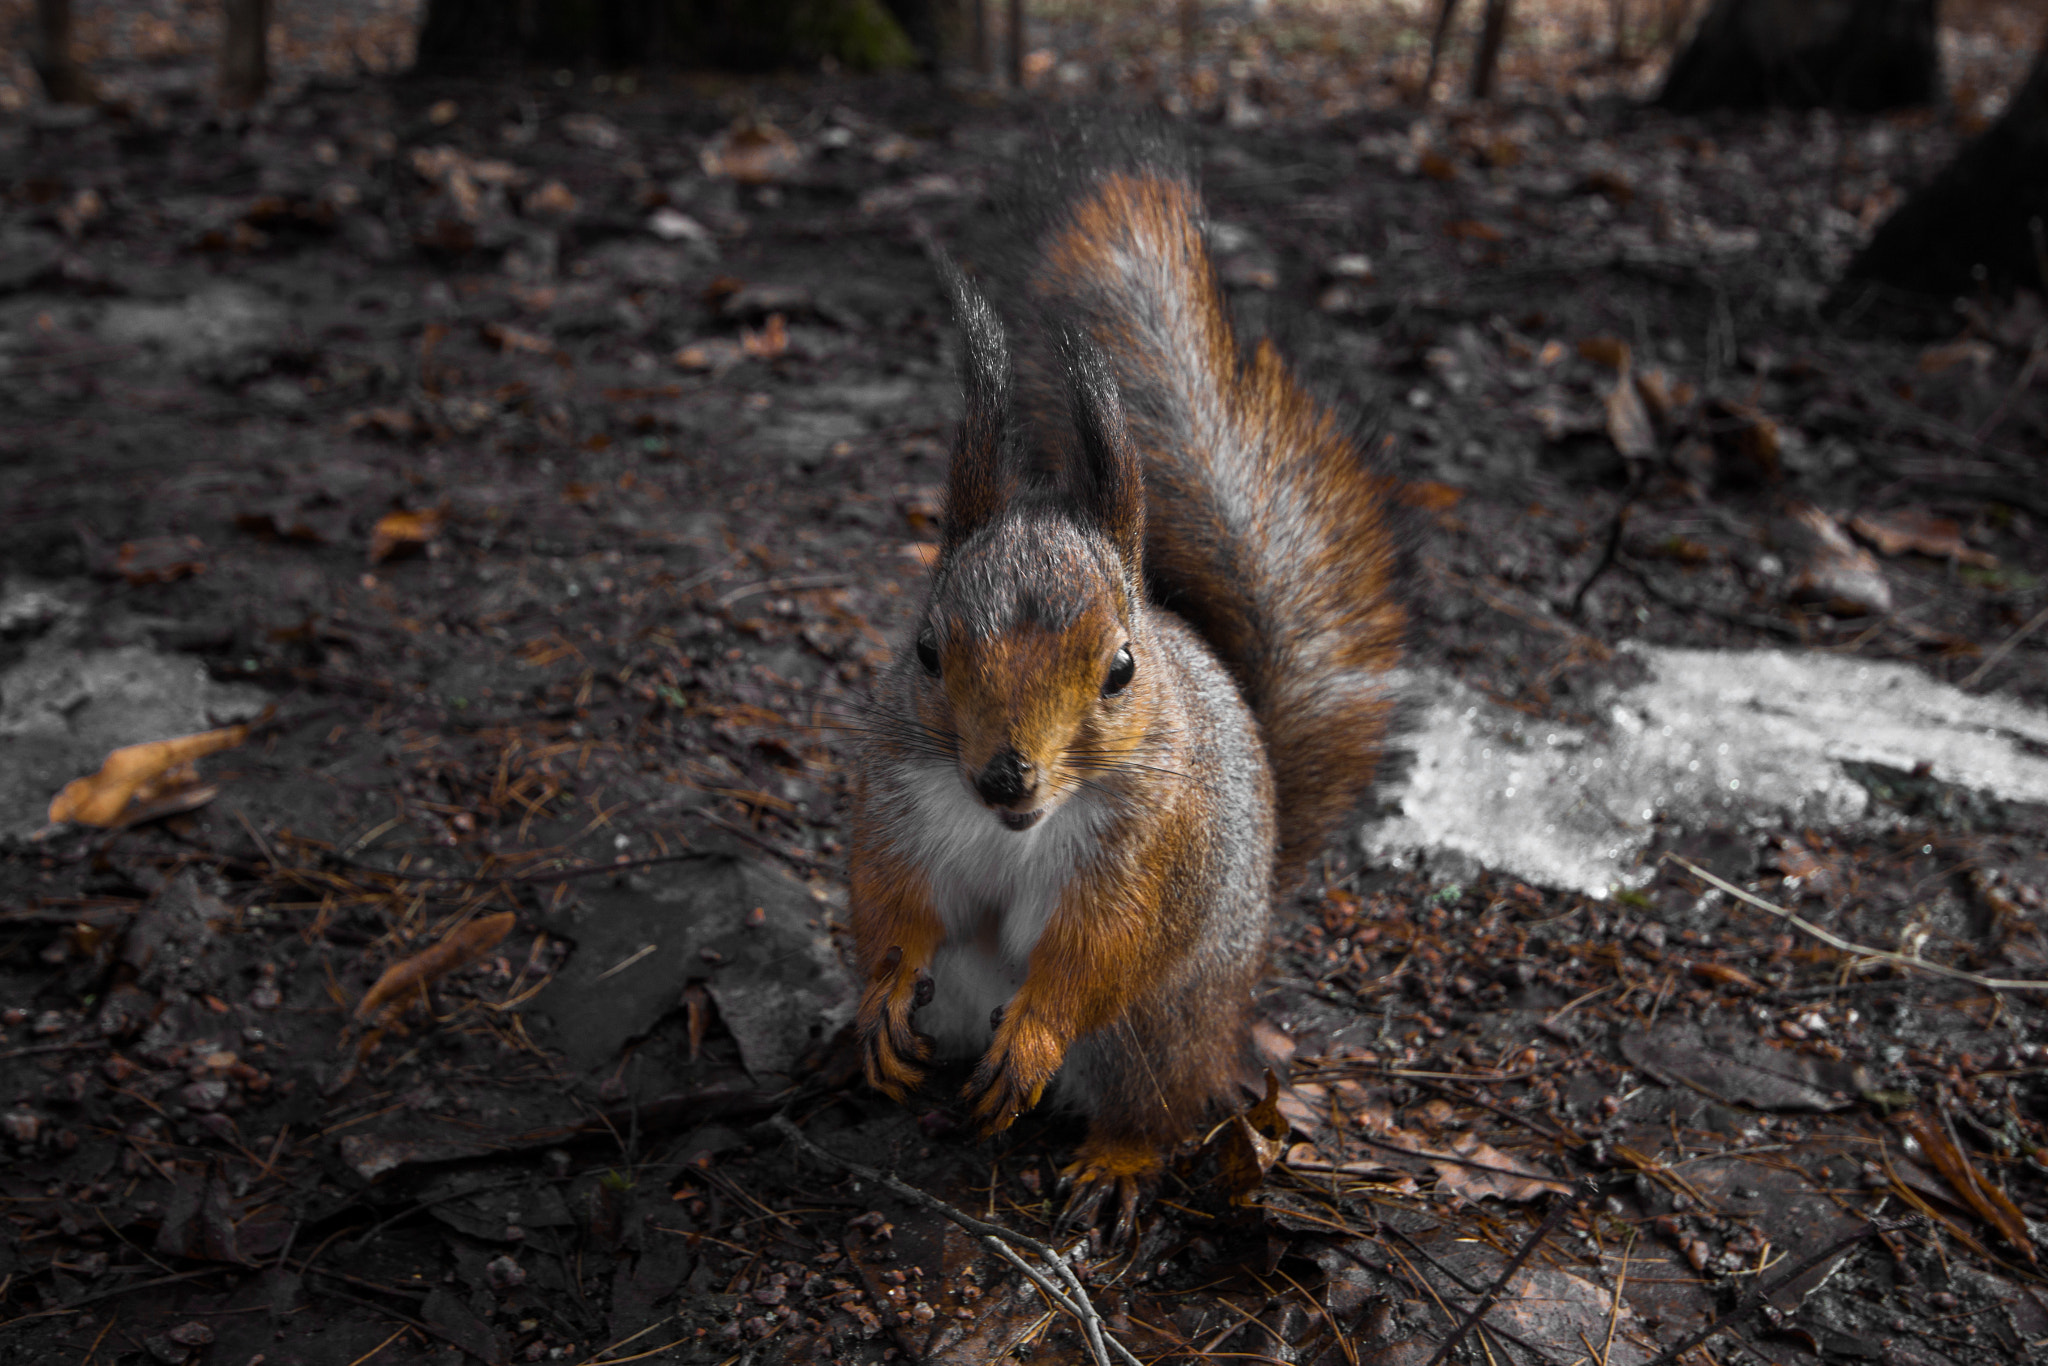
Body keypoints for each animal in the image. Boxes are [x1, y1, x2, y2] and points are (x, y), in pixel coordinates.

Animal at [839, 136, 1400, 1236]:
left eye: (1120, 669)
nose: (1005, 774)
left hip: (1162, 1034)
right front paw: (879, 994)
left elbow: (1101, 947)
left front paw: (1038, 1030)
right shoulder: (898, 802)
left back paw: (1113, 1161)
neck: (1017, 827)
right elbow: (894, 901)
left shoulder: (1150, 850)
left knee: (1157, 1105)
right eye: (925, 651)